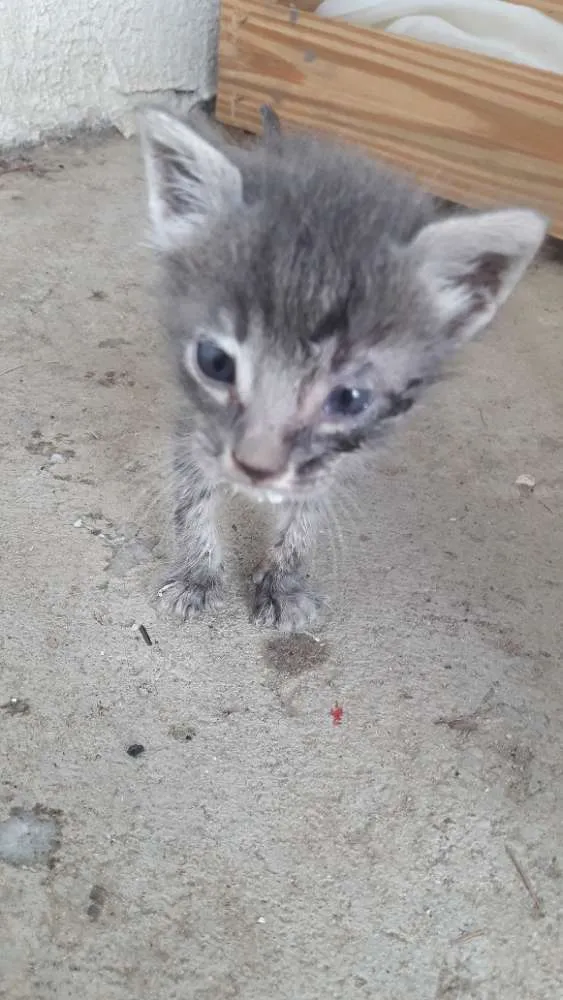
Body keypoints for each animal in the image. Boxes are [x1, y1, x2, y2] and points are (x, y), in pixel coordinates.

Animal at [139, 103, 548, 632]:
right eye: (215, 363)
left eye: (350, 398)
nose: (256, 469)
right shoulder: (194, 420)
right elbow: (192, 489)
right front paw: (198, 571)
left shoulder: (346, 450)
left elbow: (309, 504)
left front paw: (284, 580)